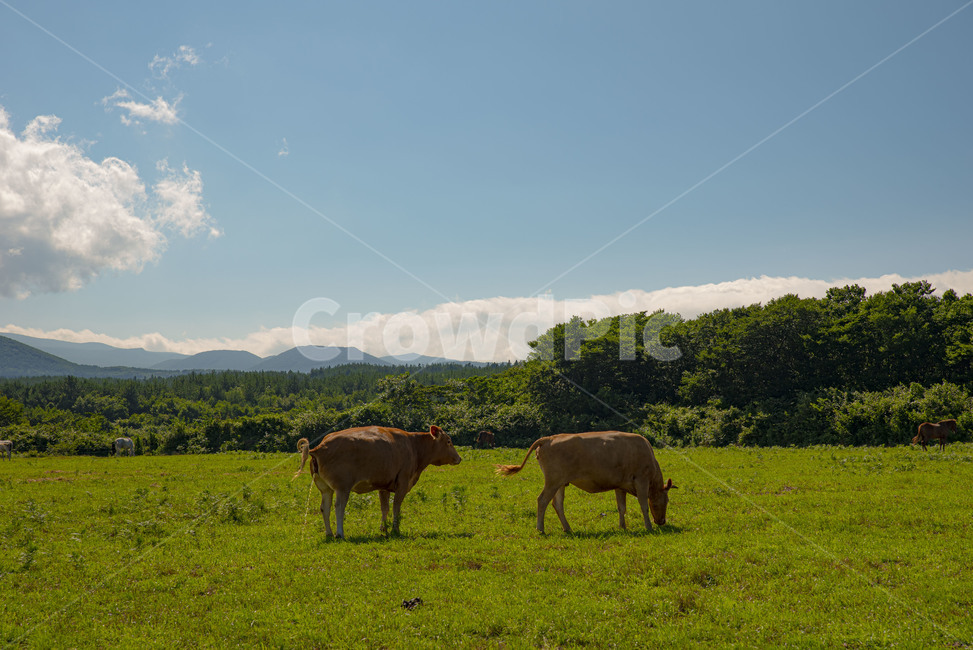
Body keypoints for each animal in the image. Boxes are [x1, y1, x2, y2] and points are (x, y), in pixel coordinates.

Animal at [295, 425, 461, 538]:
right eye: (448, 441)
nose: (459, 458)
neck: (413, 445)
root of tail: (320, 446)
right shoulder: (402, 483)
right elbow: (396, 507)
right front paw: (395, 529)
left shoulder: (384, 486)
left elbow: (385, 508)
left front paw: (383, 528)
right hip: (343, 487)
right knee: (339, 507)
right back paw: (339, 533)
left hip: (325, 489)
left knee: (325, 507)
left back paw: (329, 533)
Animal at [495, 431, 676, 534]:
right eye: (667, 500)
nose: (662, 522)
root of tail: (549, 438)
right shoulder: (641, 480)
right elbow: (644, 506)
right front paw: (648, 527)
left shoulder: (620, 485)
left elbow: (621, 508)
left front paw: (622, 527)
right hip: (552, 481)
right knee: (542, 500)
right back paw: (540, 529)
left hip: (560, 483)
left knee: (557, 504)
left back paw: (567, 528)